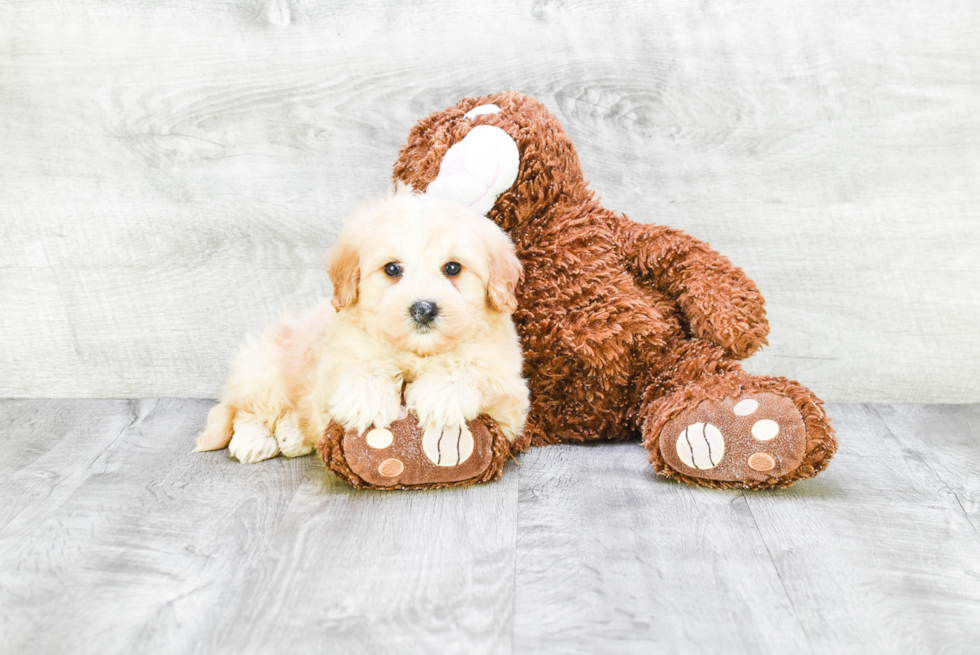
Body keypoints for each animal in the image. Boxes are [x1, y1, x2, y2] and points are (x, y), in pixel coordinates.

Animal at [192, 188, 528, 466]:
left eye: (453, 268)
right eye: (392, 269)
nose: (423, 309)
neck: (416, 352)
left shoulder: (510, 400)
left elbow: (476, 370)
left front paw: (440, 395)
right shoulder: (329, 373)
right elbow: (357, 367)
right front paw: (368, 399)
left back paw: (293, 437)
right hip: (265, 374)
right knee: (246, 411)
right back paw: (255, 441)